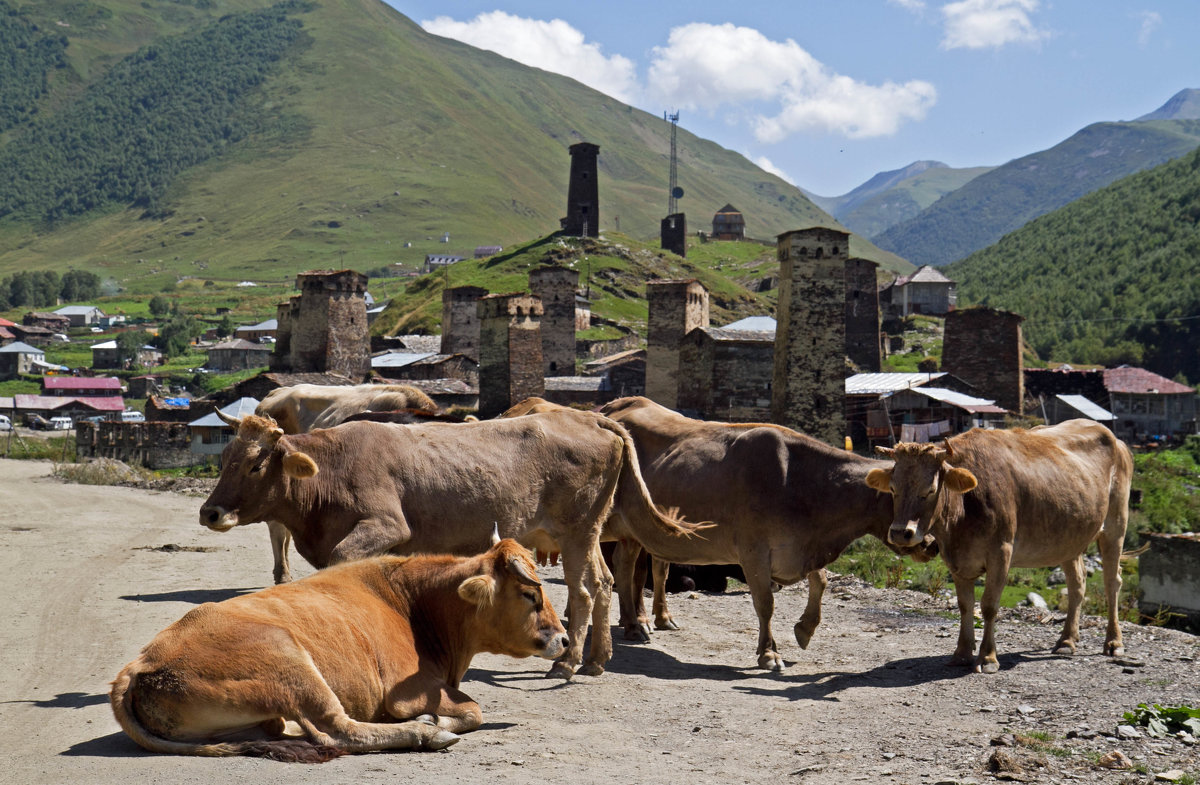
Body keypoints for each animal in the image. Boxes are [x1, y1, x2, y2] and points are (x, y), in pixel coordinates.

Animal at [108, 542, 566, 763]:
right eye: (529, 595)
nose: (564, 639)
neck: (414, 602)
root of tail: (141, 662)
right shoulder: (410, 690)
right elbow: (472, 710)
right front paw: (436, 720)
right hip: (292, 664)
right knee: (339, 730)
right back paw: (425, 732)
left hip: (260, 715)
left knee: (295, 732)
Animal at [196, 408, 700, 681]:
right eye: (226, 457)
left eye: (257, 464)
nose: (210, 513)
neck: (332, 470)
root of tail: (591, 416)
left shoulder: (386, 525)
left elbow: (341, 563)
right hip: (587, 533)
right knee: (604, 582)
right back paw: (597, 659)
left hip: (577, 532)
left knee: (581, 590)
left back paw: (568, 662)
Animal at [600, 396, 936, 672]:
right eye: (895, 491)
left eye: (932, 491)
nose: (927, 543)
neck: (801, 482)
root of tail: (615, 406)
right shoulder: (754, 552)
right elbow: (765, 603)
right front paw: (769, 653)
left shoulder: (800, 548)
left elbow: (821, 581)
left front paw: (805, 629)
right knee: (632, 569)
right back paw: (637, 624)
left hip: (636, 532)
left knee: (633, 566)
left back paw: (646, 620)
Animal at [864, 424, 1132, 676]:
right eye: (893, 488)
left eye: (930, 489)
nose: (901, 533)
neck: (963, 511)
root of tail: (1112, 436)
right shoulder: (956, 559)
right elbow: (965, 605)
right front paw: (962, 653)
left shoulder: (1001, 553)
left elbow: (989, 606)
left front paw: (988, 658)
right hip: (1069, 537)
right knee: (1077, 583)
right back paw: (1067, 641)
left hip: (1116, 525)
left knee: (1112, 582)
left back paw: (1113, 642)